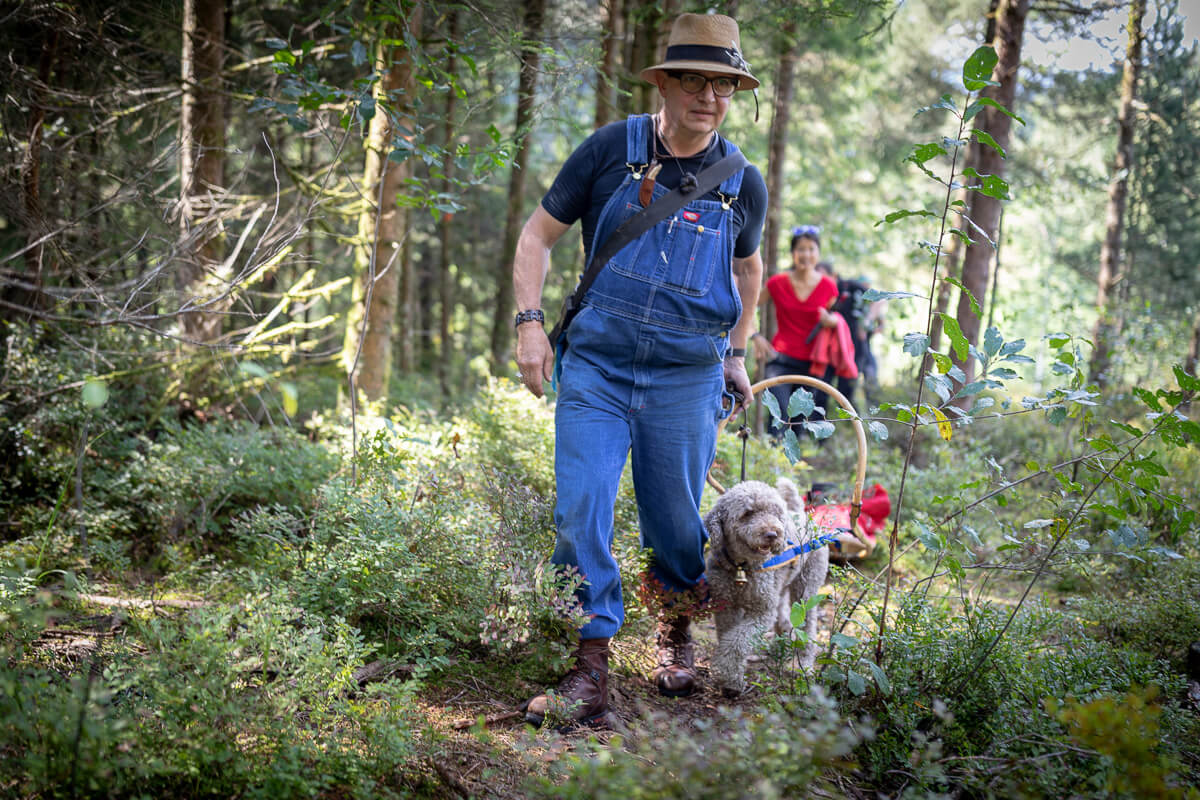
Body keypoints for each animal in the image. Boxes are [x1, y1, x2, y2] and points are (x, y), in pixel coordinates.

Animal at [705, 479, 830, 695]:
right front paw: (732, 678)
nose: (773, 534)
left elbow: (738, 642)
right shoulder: (726, 606)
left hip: (806, 589)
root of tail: (801, 513)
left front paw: (729, 678)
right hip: (779, 590)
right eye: (748, 513)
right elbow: (728, 637)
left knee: (808, 625)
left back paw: (803, 664)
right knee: (783, 618)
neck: (741, 567)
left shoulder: (761, 612)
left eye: (775, 513)